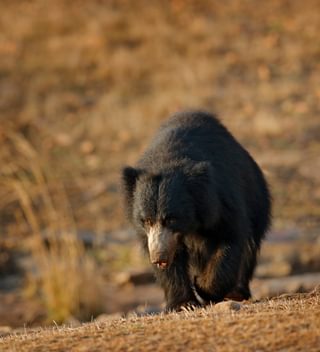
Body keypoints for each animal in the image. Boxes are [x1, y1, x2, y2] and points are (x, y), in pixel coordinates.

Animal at [121, 110, 272, 310]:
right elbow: (172, 263)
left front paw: (203, 287)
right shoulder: (155, 237)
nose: (159, 257)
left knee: (249, 246)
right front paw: (183, 303)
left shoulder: (222, 200)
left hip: (256, 197)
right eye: (146, 220)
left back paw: (236, 292)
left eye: (171, 219)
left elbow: (229, 238)